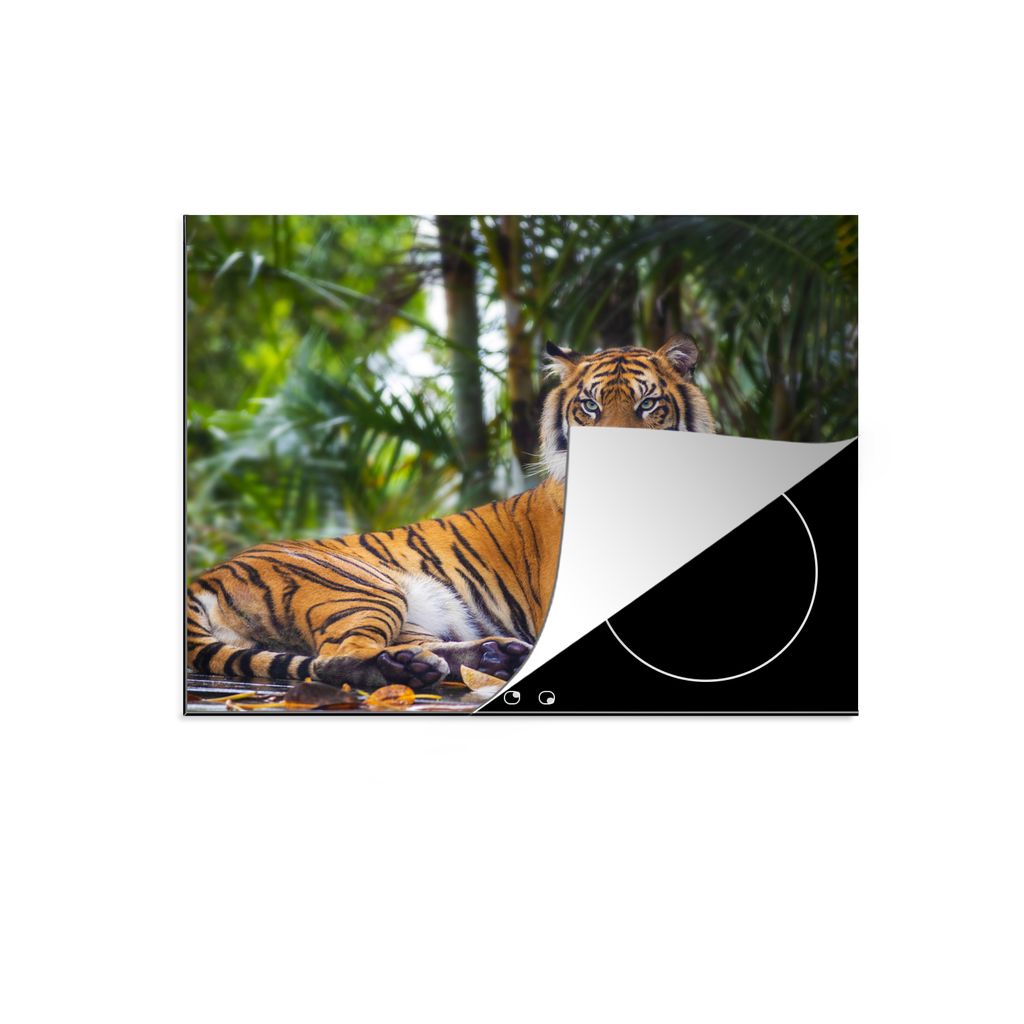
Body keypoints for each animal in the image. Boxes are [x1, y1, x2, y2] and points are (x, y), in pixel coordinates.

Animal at [186, 334, 717, 689]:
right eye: (589, 406)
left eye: (647, 405)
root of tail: (207, 575)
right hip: (366, 588)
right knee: (332, 659)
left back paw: (489, 656)